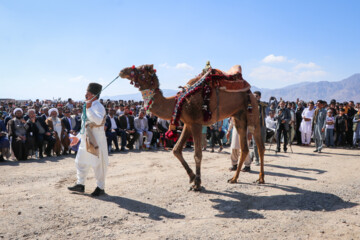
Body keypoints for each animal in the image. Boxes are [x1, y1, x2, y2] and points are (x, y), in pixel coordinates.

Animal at [119, 64, 264, 191]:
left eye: (140, 69)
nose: (122, 71)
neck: (178, 103)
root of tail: (250, 92)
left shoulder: (196, 124)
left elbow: (197, 155)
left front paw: (197, 184)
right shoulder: (187, 124)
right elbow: (176, 150)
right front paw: (192, 178)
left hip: (253, 112)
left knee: (260, 146)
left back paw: (260, 179)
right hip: (239, 117)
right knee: (245, 148)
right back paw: (234, 179)